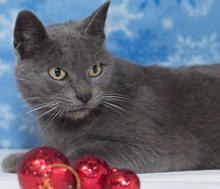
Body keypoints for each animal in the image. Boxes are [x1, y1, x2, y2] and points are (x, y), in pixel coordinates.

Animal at [2, 0, 220, 174]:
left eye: (95, 69)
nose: (85, 95)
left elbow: (84, 151)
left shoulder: (154, 145)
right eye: (57, 73)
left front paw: (25, 160)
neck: (68, 127)